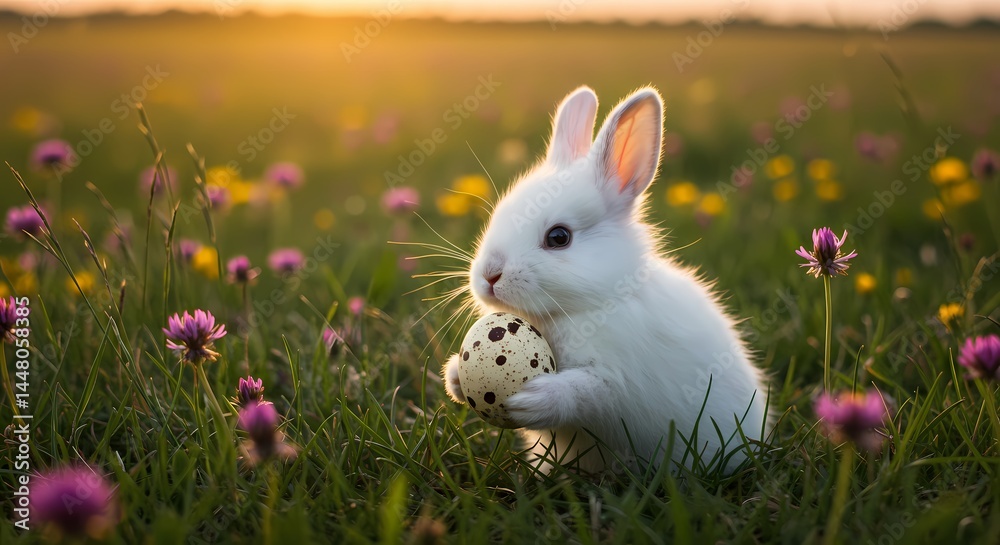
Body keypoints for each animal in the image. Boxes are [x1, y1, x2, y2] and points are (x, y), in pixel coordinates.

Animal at [443, 85, 770, 476]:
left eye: (559, 237)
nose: (489, 275)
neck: (585, 306)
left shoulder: (616, 381)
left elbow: (584, 394)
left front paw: (533, 399)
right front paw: (454, 377)